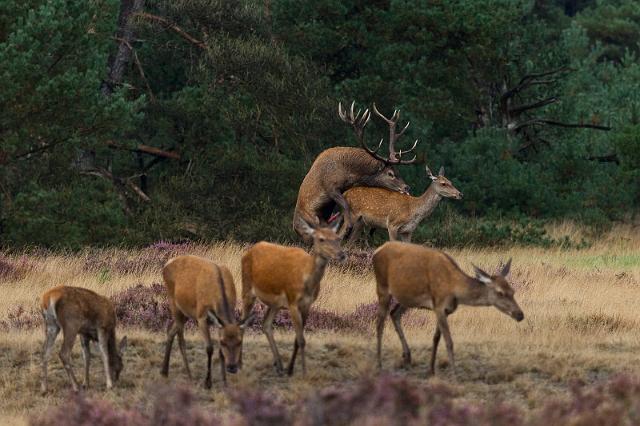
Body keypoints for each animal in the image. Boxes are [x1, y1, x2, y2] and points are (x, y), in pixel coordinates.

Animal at [161, 256, 254, 390]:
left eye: (239, 342)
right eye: (223, 342)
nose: (232, 367)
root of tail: (166, 264)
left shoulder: (219, 324)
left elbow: (220, 352)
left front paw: (225, 382)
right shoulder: (201, 317)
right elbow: (209, 348)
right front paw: (207, 382)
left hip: (186, 312)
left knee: (170, 330)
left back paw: (164, 371)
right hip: (173, 303)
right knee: (180, 338)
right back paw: (189, 375)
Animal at [242, 220, 348, 376]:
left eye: (338, 238)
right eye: (321, 239)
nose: (341, 255)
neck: (307, 283)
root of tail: (249, 251)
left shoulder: (307, 305)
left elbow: (298, 339)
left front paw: (290, 369)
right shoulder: (292, 302)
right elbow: (301, 340)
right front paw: (303, 371)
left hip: (275, 304)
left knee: (266, 324)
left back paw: (279, 366)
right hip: (247, 288)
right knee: (241, 323)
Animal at [294, 100, 420, 245]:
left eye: (398, 171)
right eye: (390, 173)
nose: (407, 187)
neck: (349, 173)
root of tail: (294, 228)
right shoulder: (330, 186)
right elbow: (346, 208)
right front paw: (347, 229)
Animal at [372, 243, 524, 376]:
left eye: (513, 291)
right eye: (500, 293)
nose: (520, 314)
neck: (454, 288)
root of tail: (377, 251)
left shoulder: (445, 310)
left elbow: (436, 338)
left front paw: (431, 370)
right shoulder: (439, 306)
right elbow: (449, 341)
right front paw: (454, 373)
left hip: (407, 298)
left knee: (394, 314)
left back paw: (407, 357)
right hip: (382, 287)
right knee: (380, 323)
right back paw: (379, 364)